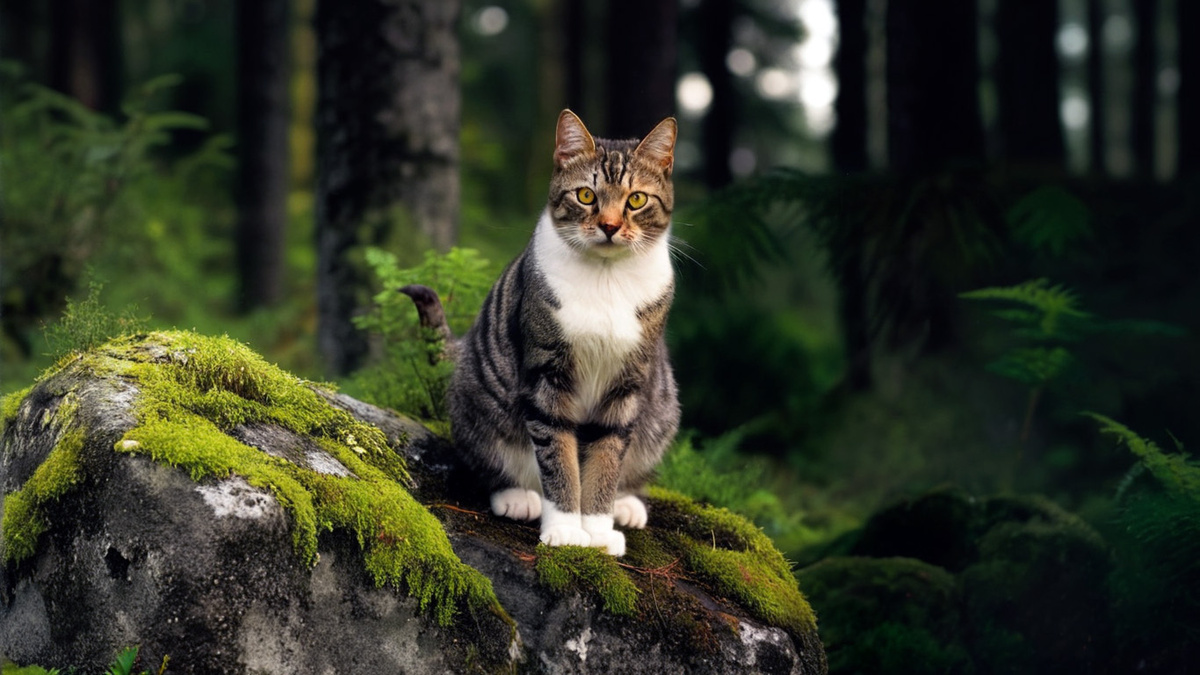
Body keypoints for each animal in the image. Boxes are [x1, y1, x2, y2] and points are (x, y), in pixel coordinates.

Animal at [403, 109, 681, 552]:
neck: (606, 279)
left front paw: (598, 529)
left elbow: (607, 455)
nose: (609, 225)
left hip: (662, 410)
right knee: (490, 460)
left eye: (636, 200)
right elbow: (558, 454)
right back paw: (518, 497)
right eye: (586, 196)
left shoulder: (627, 383)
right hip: (477, 399)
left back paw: (627, 504)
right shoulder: (547, 372)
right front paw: (566, 529)